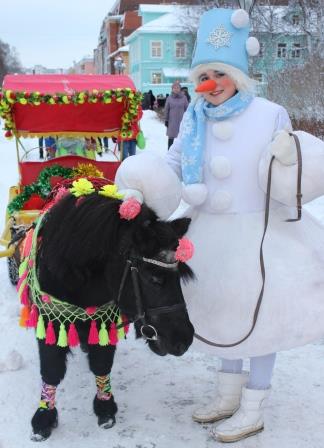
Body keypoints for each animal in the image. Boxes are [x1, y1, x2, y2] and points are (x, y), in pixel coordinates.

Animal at [26, 186, 194, 440]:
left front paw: (105, 408)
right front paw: (44, 417)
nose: (185, 340)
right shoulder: (50, 323)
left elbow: (101, 363)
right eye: (154, 278)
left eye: (180, 276)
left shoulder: (102, 320)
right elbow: (51, 371)